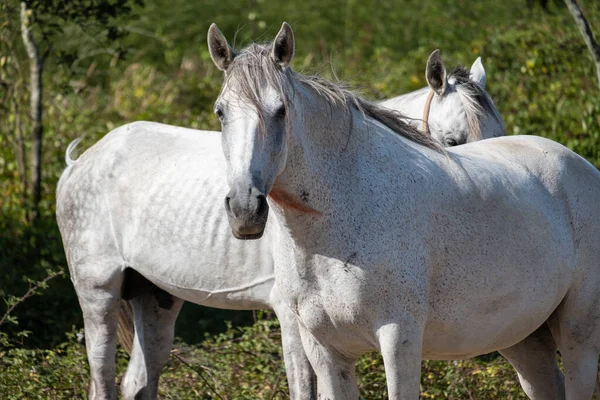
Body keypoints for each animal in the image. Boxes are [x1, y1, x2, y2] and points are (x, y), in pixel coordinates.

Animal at [210, 22, 600, 400]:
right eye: (220, 111)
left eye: (281, 110)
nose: (245, 208)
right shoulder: (325, 350)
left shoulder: (399, 341)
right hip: (522, 338)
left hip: (578, 334)